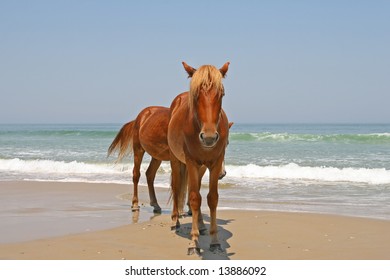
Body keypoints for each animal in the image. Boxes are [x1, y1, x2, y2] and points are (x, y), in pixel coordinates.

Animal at [168, 61, 230, 256]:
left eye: (221, 94)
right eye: (195, 95)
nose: (209, 137)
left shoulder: (215, 163)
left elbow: (212, 198)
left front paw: (215, 241)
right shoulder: (191, 162)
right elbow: (194, 198)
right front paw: (193, 243)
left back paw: (201, 225)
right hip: (176, 160)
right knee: (177, 187)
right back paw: (175, 222)